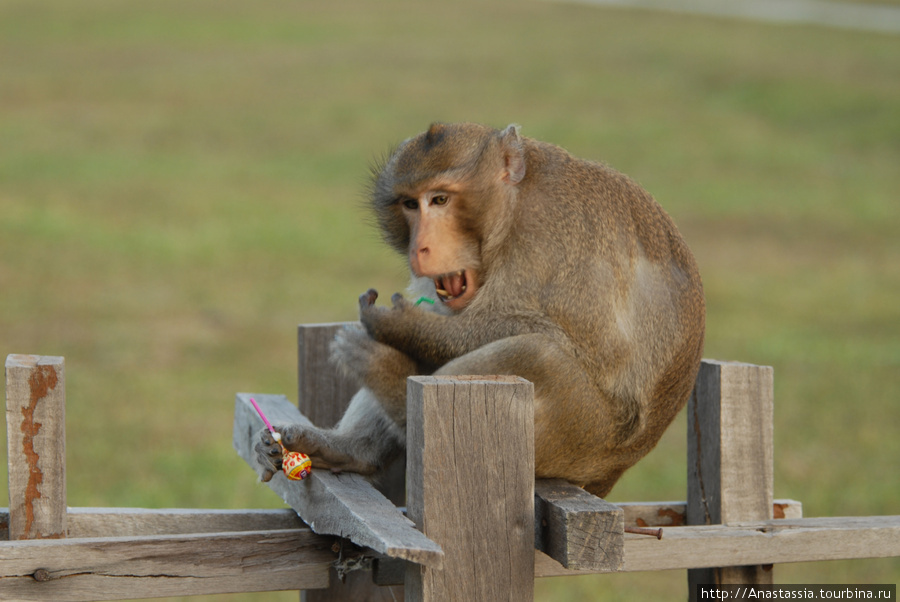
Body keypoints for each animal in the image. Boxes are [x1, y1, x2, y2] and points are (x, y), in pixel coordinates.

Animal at [253, 122, 704, 496]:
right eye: (410, 205)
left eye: (440, 199)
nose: (421, 247)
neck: (514, 208)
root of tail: (608, 478)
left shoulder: (557, 235)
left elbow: (591, 344)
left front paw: (401, 325)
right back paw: (350, 449)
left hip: (584, 440)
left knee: (536, 354)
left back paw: (392, 384)